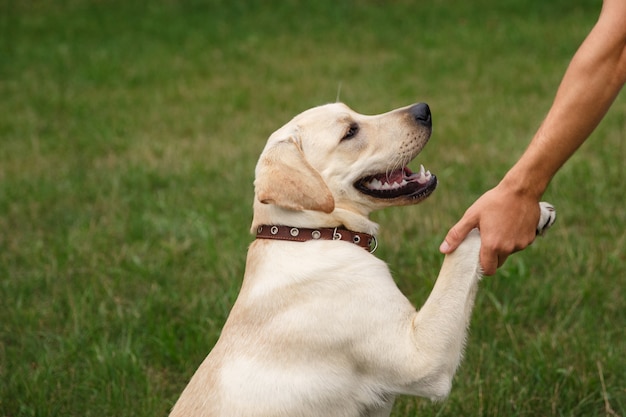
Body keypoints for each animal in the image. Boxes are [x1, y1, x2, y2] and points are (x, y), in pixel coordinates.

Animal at [168, 101, 552, 416]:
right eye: (350, 132)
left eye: (355, 112)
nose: (424, 109)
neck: (311, 234)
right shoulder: (421, 357)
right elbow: (464, 245)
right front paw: (514, 213)